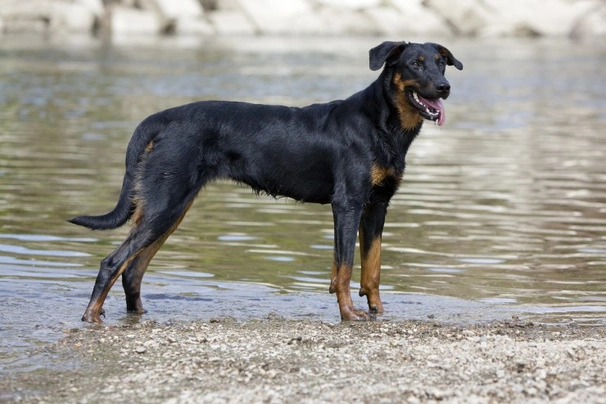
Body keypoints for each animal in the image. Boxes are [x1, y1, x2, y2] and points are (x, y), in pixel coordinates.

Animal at [70, 41, 460, 322]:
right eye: (415, 64)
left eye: (440, 62)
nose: (445, 87)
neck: (382, 124)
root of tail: (159, 119)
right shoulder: (347, 204)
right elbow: (346, 267)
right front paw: (350, 314)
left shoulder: (377, 205)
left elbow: (372, 267)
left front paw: (377, 311)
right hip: (166, 204)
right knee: (113, 263)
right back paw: (91, 317)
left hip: (170, 207)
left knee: (133, 270)